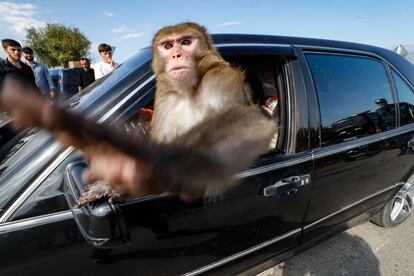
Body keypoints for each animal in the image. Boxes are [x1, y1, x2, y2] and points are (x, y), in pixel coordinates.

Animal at [0, 22, 278, 205]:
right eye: (168, 45)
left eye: (186, 42)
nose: (177, 54)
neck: (189, 89)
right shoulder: (166, 99)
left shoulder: (220, 78)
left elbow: (253, 124)